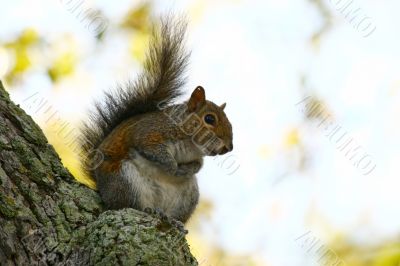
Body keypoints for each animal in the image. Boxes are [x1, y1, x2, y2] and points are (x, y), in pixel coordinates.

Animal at [79, 16, 233, 229]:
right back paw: (148, 210)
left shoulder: (196, 156)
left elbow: (198, 165)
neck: (190, 143)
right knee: (128, 204)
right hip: (124, 179)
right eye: (209, 119)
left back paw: (174, 222)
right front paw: (172, 167)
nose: (229, 147)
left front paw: (187, 169)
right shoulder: (151, 132)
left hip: (188, 197)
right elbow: (151, 148)